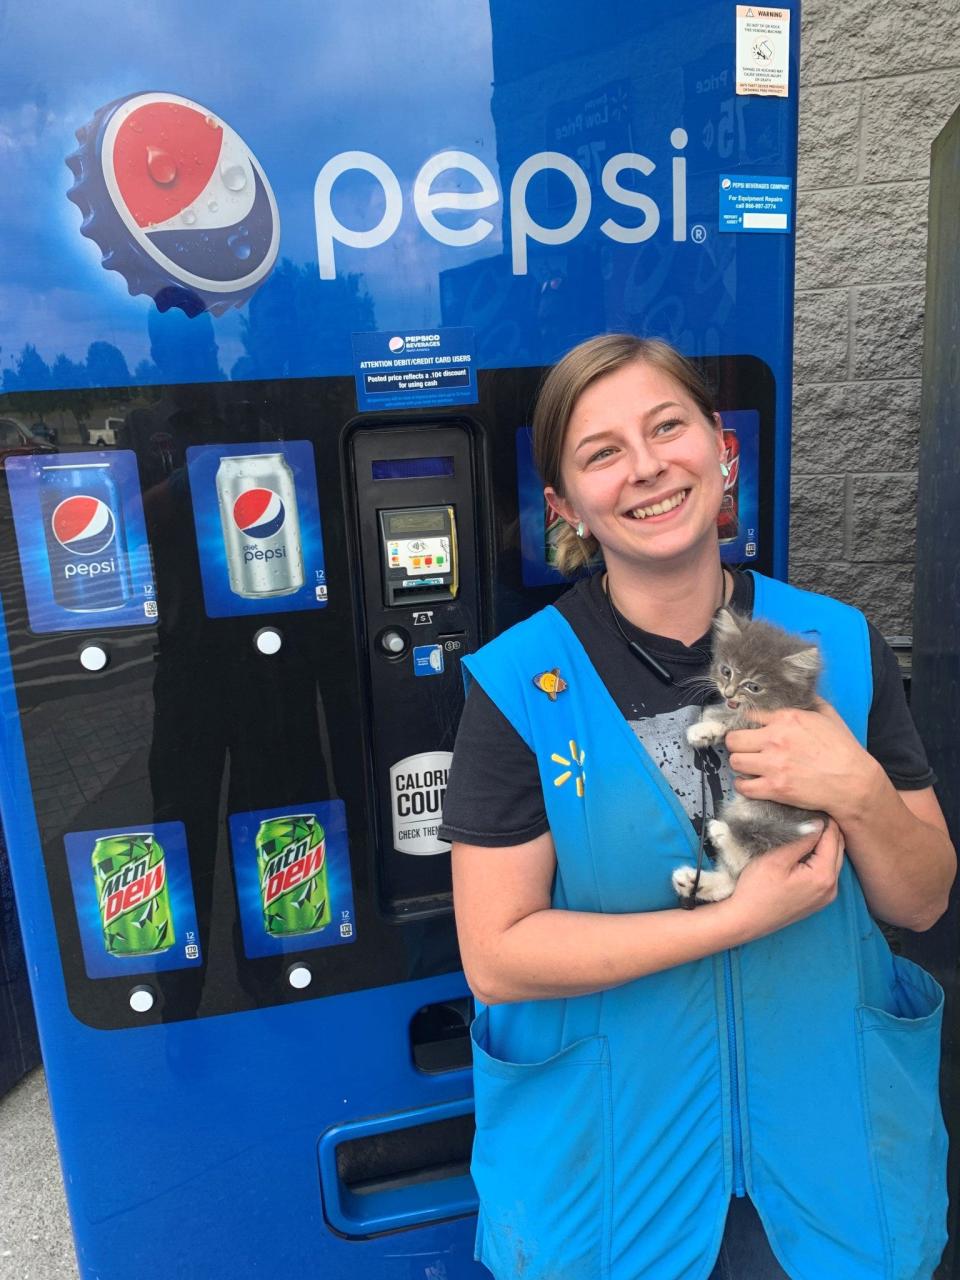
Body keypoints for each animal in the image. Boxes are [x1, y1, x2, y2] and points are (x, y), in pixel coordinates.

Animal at [675, 606, 829, 901]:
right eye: (726, 671)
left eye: (754, 687)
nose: (728, 693)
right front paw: (708, 723)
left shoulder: (768, 722)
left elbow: (737, 721)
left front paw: (704, 728)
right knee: (734, 881)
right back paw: (693, 882)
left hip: (766, 811)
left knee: (751, 852)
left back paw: (721, 832)